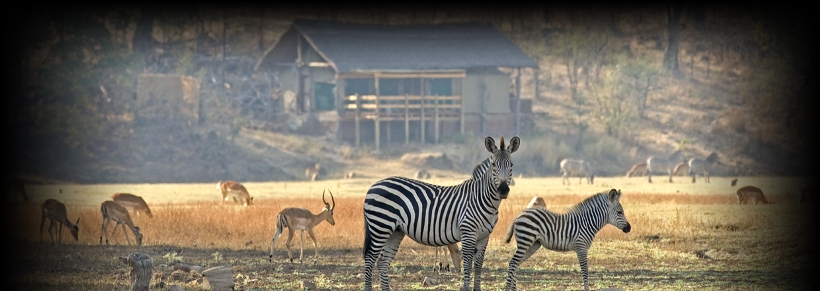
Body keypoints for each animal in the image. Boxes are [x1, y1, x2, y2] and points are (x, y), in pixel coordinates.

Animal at [364, 136, 524, 290]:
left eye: (511, 165)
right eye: (494, 165)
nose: (503, 190)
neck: (481, 198)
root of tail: (374, 186)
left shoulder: (484, 237)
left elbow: (478, 267)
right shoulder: (468, 233)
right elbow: (467, 266)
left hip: (395, 231)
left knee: (382, 262)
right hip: (380, 226)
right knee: (370, 260)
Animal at [502, 189, 632, 291]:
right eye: (620, 212)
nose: (629, 228)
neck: (587, 223)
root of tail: (519, 215)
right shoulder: (581, 248)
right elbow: (585, 271)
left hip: (533, 244)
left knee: (515, 264)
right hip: (525, 241)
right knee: (513, 263)